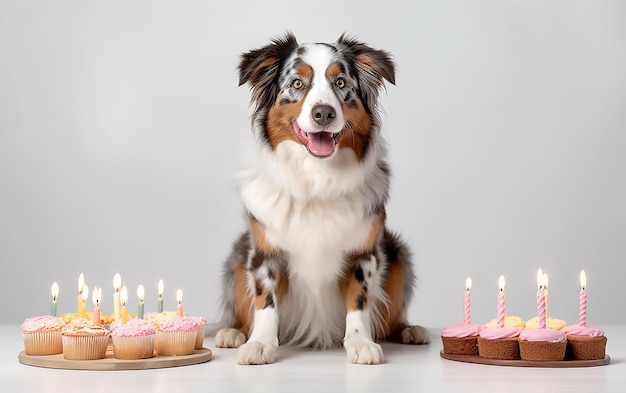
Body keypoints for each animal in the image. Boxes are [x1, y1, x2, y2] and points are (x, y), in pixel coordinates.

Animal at [216, 33, 428, 364]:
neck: (316, 178)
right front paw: (260, 343)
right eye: (297, 83)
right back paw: (233, 332)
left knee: (392, 318)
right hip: (237, 258)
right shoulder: (265, 252)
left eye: (340, 83)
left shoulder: (363, 252)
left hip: (398, 255)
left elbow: (359, 301)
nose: (324, 113)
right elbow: (265, 302)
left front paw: (360, 343)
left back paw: (410, 330)